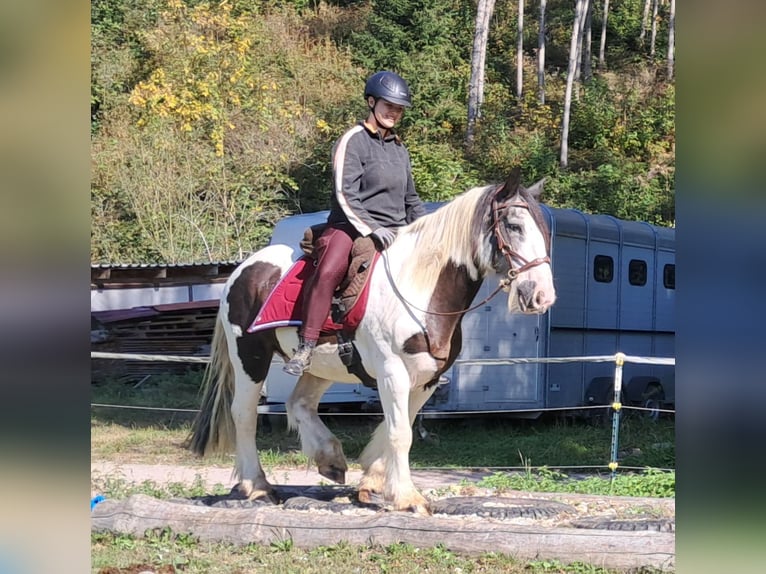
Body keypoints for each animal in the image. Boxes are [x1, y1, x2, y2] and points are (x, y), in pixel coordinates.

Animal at [186, 169, 560, 516]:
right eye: (514, 225)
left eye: (544, 232)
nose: (540, 295)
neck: (419, 288)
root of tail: (243, 269)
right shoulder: (392, 372)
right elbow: (400, 433)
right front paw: (408, 498)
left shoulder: (427, 379)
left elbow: (397, 426)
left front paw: (374, 482)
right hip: (249, 356)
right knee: (244, 414)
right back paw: (257, 486)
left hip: (318, 366)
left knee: (299, 404)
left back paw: (330, 459)